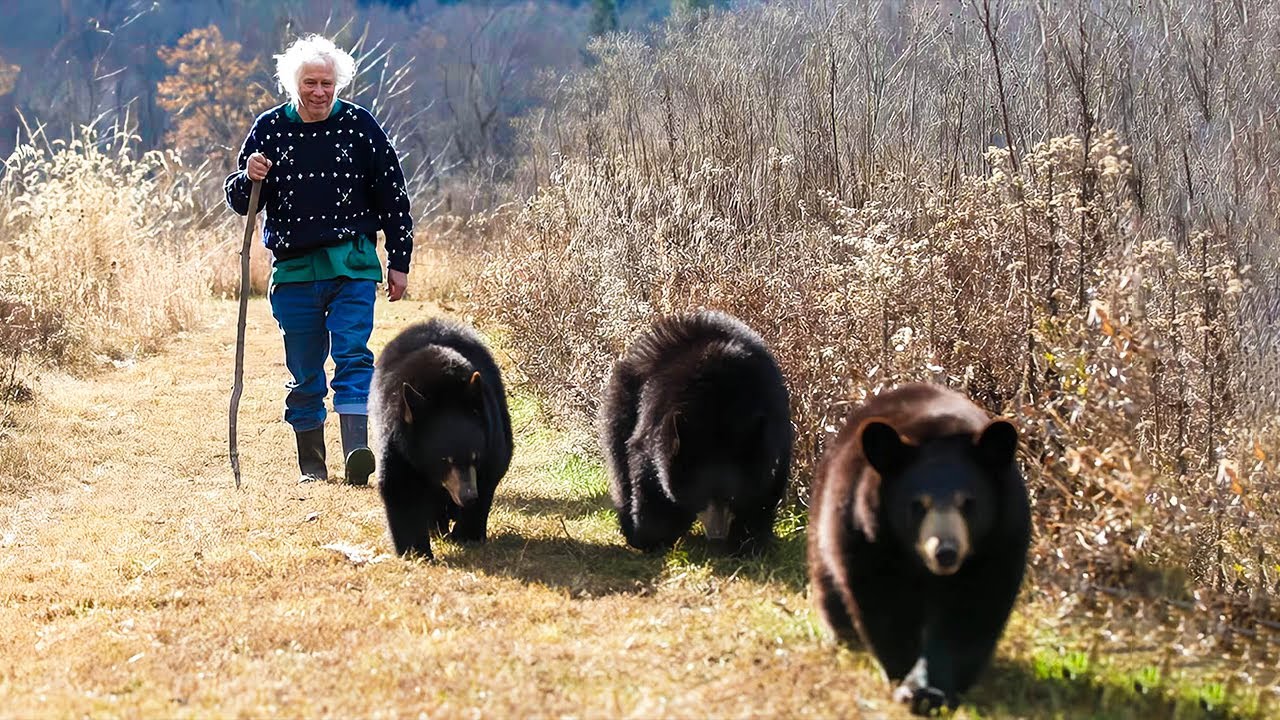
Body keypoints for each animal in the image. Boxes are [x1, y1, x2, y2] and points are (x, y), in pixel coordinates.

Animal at [370, 318, 513, 558]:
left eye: (475, 456)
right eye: (444, 459)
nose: (468, 496)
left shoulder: (491, 436)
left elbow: (488, 476)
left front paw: (467, 534)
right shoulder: (398, 441)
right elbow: (399, 486)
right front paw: (415, 550)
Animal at [599, 310, 792, 556]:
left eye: (732, 497)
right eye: (702, 496)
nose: (717, 535)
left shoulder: (773, 432)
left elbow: (766, 488)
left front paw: (748, 542)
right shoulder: (655, 428)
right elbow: (648, 478)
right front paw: (650, 536)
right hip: (624, 399)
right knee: (619, 461)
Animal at [806, 382, 1031, 716]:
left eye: (968, 503)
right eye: (917, 505)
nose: (946, 552)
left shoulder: (999, 541)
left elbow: (969, 611)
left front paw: (930, 690)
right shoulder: (869, 535)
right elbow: (887, 603)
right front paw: (903, 676)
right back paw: (842, 632)